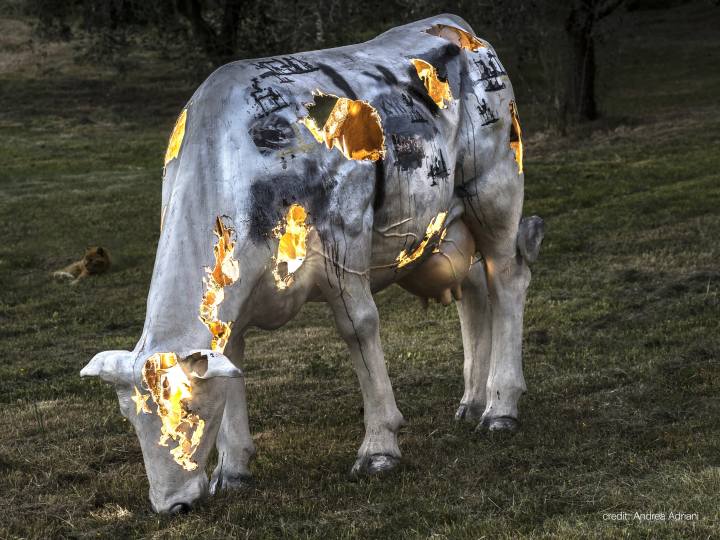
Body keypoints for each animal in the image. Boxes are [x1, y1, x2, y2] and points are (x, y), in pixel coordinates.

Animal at [81, 11, 544, 510]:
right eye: (130, 417)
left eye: (187, 409)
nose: (172, 505)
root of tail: (457, 26)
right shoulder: (230, 296)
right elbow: (233, 358)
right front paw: (233, 469)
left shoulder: (346, 239)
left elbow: (359, 327)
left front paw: (379, 448)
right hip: (445, 227)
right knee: (473, 288)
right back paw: (473, 401)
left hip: (494, 190)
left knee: (507, 278)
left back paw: (500, 407)